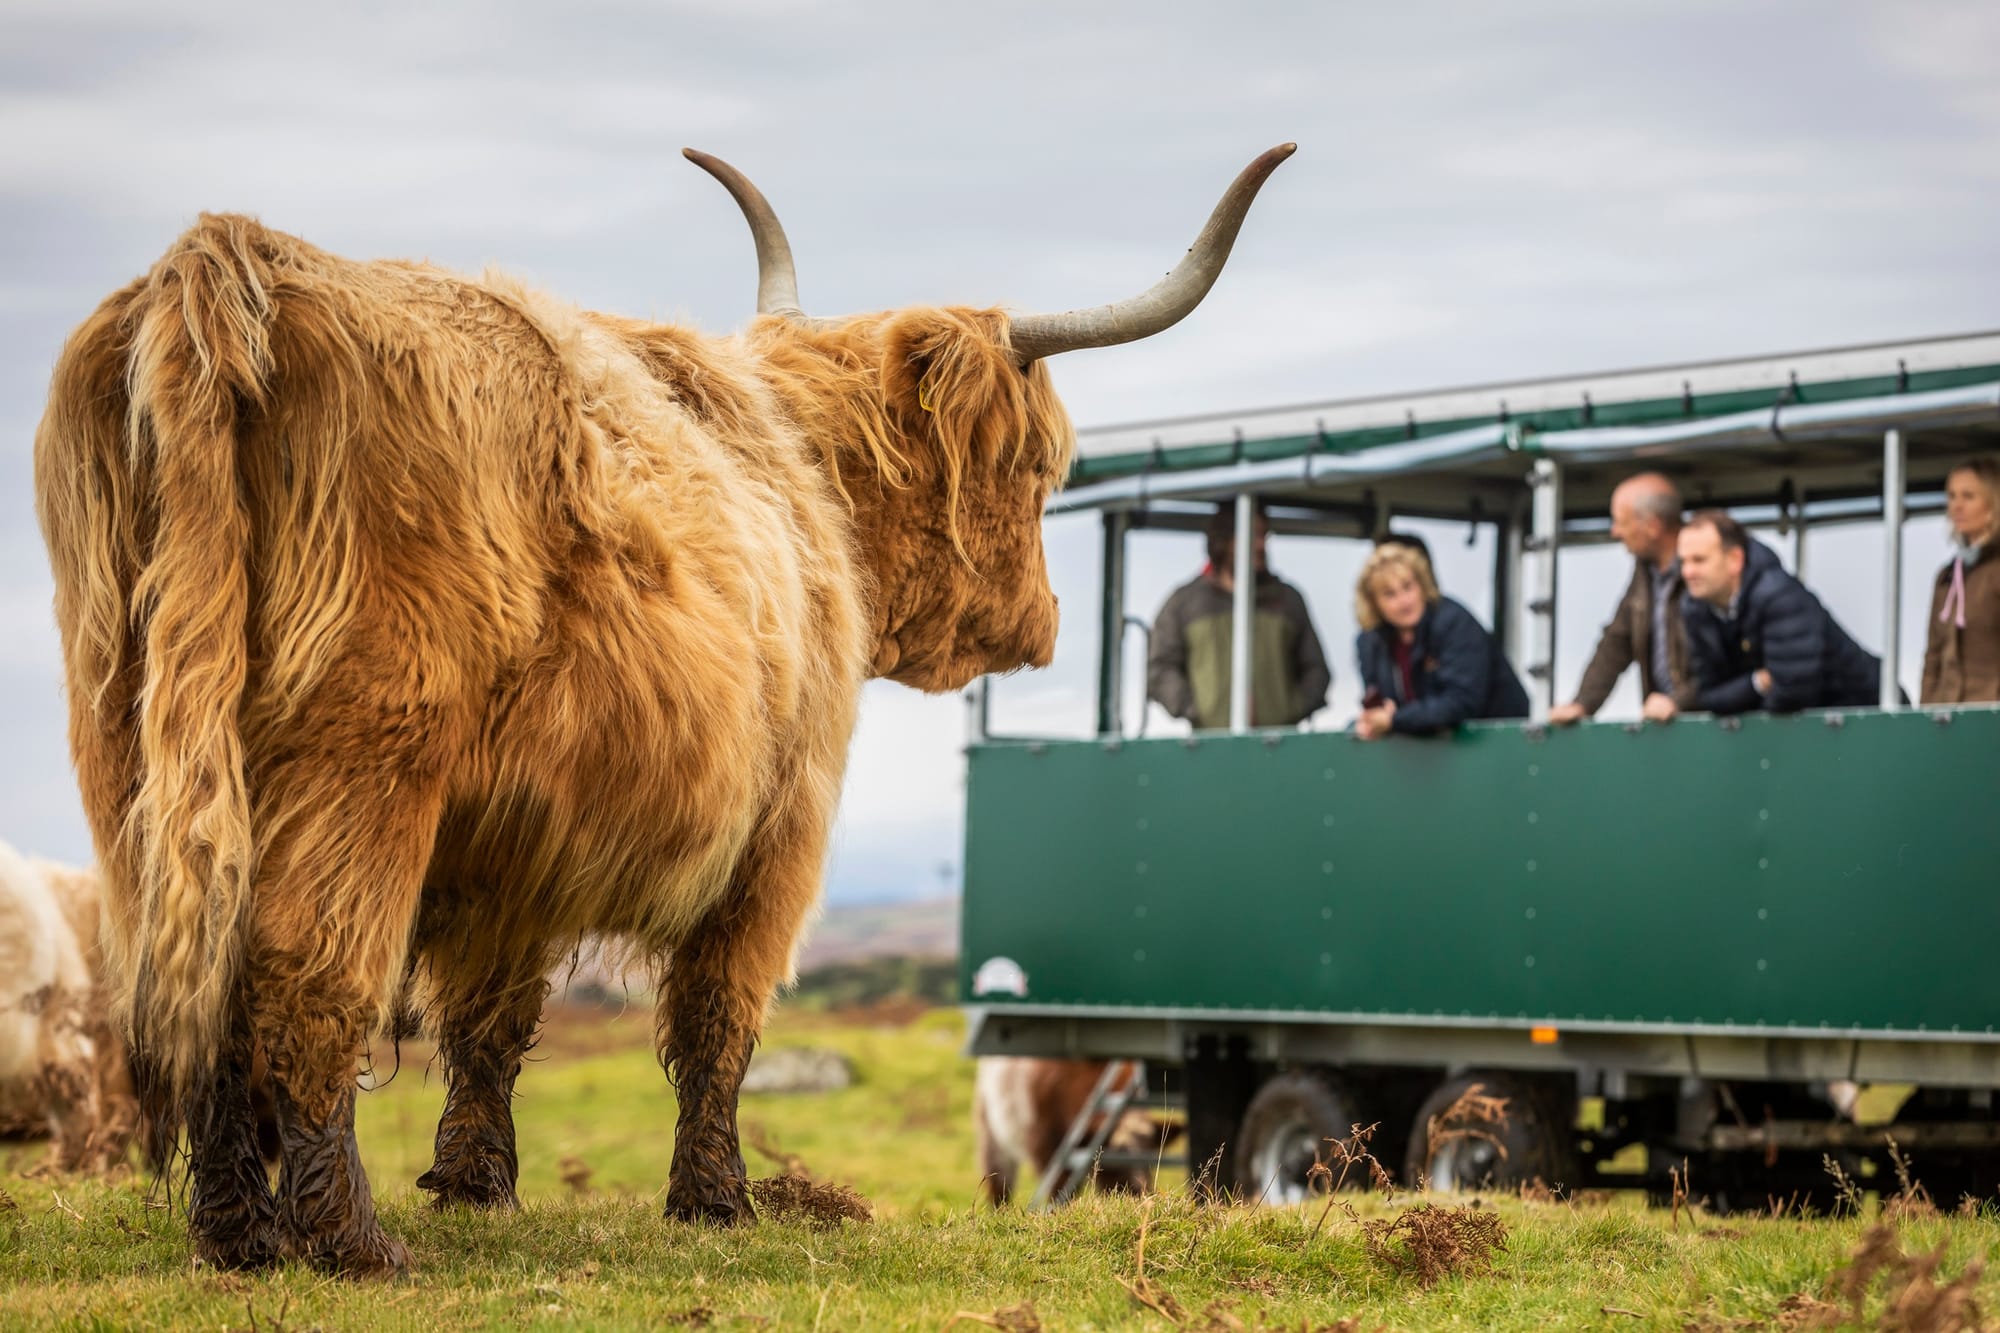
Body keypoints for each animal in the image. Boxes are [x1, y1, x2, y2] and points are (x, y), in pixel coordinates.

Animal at [34, 144, 1293, 1275]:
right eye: (1035, 466)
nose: (1041, 623)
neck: (800, 478)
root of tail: (235, 260)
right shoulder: (784, 823)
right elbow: (715, 1016)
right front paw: (716, 1199)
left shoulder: (517, 840)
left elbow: (489, 1019)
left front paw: (478, 1185)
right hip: (368, 759)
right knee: (306, 972)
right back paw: (349, 1243)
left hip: (132, 751)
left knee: (190, 974)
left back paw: (235, 1233)